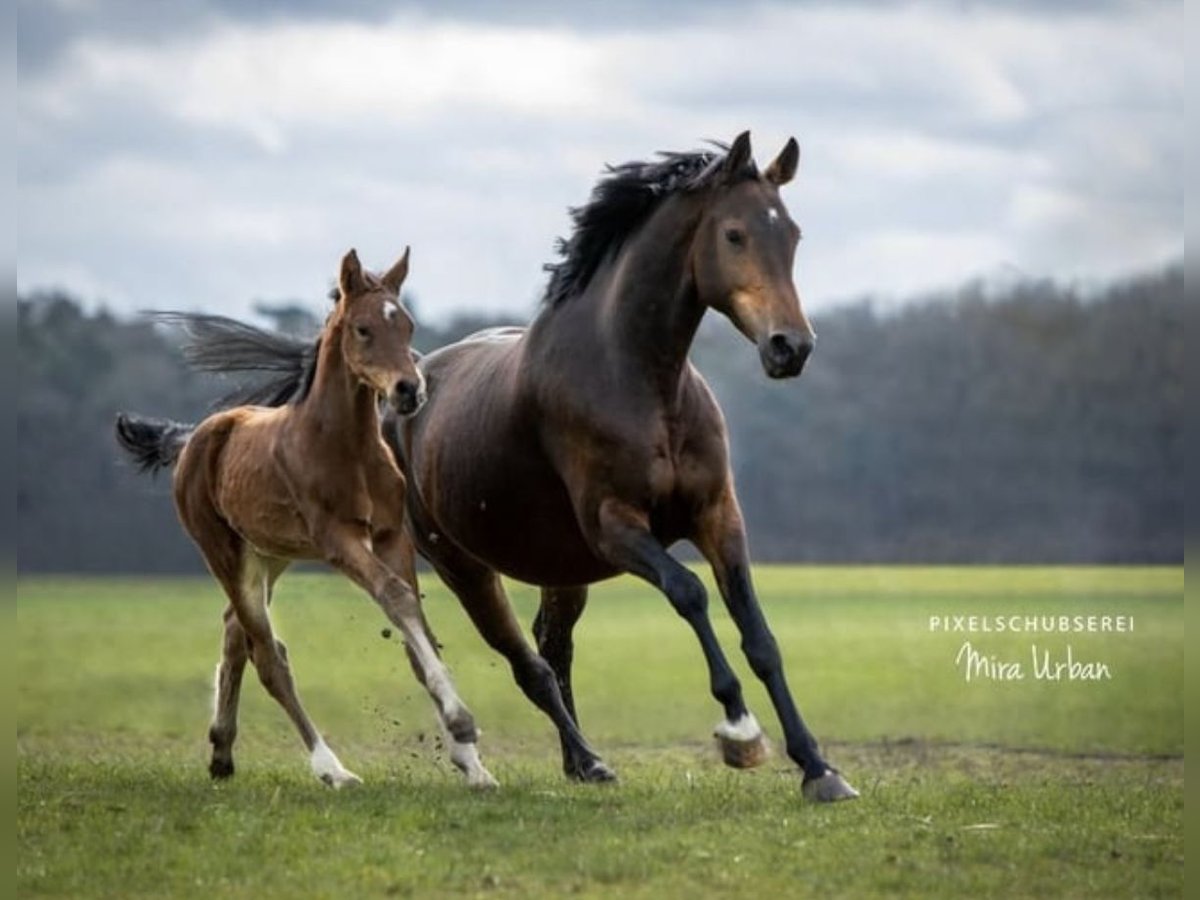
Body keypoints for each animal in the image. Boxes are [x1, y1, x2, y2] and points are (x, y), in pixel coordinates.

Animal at [174, 135, 859, 801]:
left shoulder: (717, 515)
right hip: (464, 566)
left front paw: (818, 768)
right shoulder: (615, 527)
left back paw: (579, 762)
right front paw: (741, 733)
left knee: (551, 648)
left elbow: (760, 637)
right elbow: (688, 594)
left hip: (560, 567)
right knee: (528, 662)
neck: (640, 381)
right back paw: (581, 759)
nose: (791, 347)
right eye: (734, 234)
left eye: (793, 235)